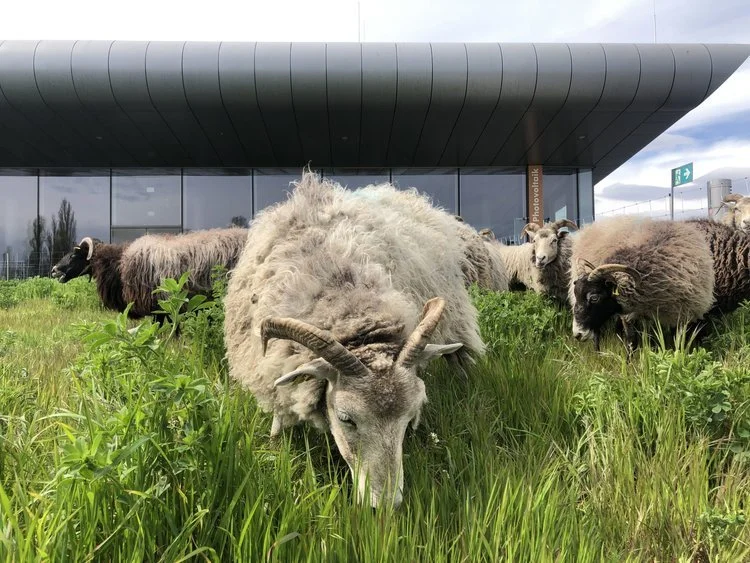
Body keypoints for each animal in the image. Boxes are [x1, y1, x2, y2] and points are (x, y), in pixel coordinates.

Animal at [224, 172, 484, 509]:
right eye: (346, 419)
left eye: (409, 418)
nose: (385, 506)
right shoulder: (269, 363)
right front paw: (275, 440)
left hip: (455, 315)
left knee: (459, 357)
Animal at [569, 215, 715, 351]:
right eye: (576, 294)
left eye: (594, 298)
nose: (577, 334)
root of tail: (589, 227)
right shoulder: (628, 313)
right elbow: (631, 342)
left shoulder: (682, 313)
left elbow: (678, 342)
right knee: (597, 334)